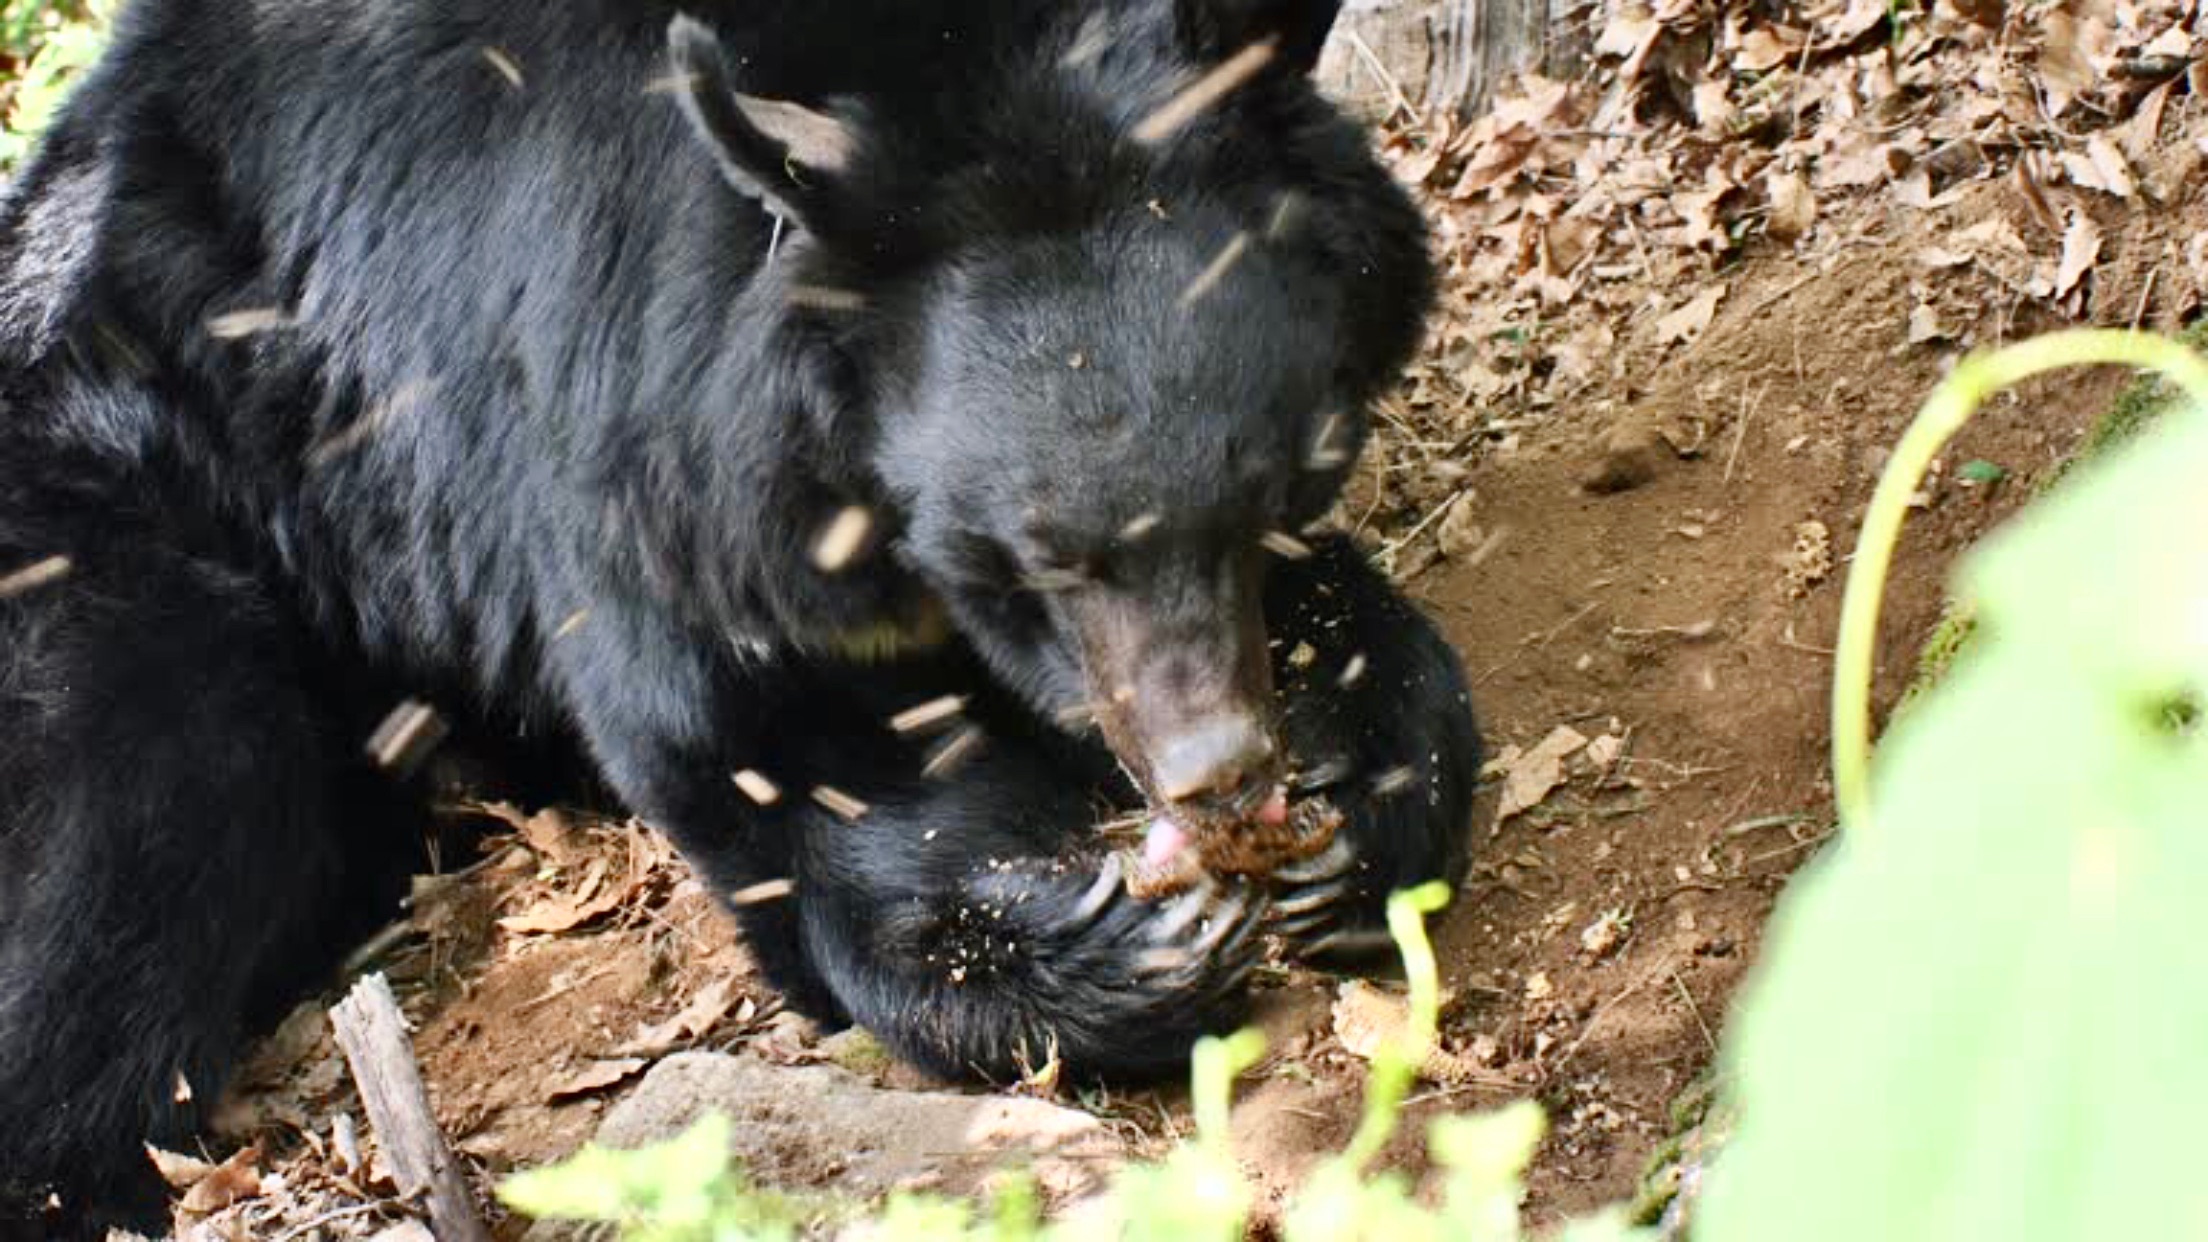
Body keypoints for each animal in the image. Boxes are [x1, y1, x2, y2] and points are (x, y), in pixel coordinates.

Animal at [0, 2, 1483, 1228]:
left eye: (1261, 489)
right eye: (1038, 553)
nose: (1214, 773)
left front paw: (1348, 813)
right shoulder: (619, 426)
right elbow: (758, 759)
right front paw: (1109, 947)